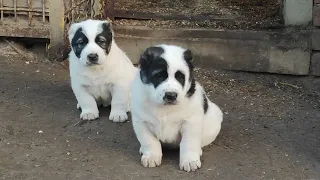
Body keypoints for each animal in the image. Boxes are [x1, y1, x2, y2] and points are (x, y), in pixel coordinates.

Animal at [130, 44, 222, 172]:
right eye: (159, 76)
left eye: (180, 77)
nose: (171, 95)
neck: (165, 109)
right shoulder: (141, 122)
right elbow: (149, 141)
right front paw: (152, 156)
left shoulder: (191, 122)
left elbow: (188, 142)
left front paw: (189, 160)